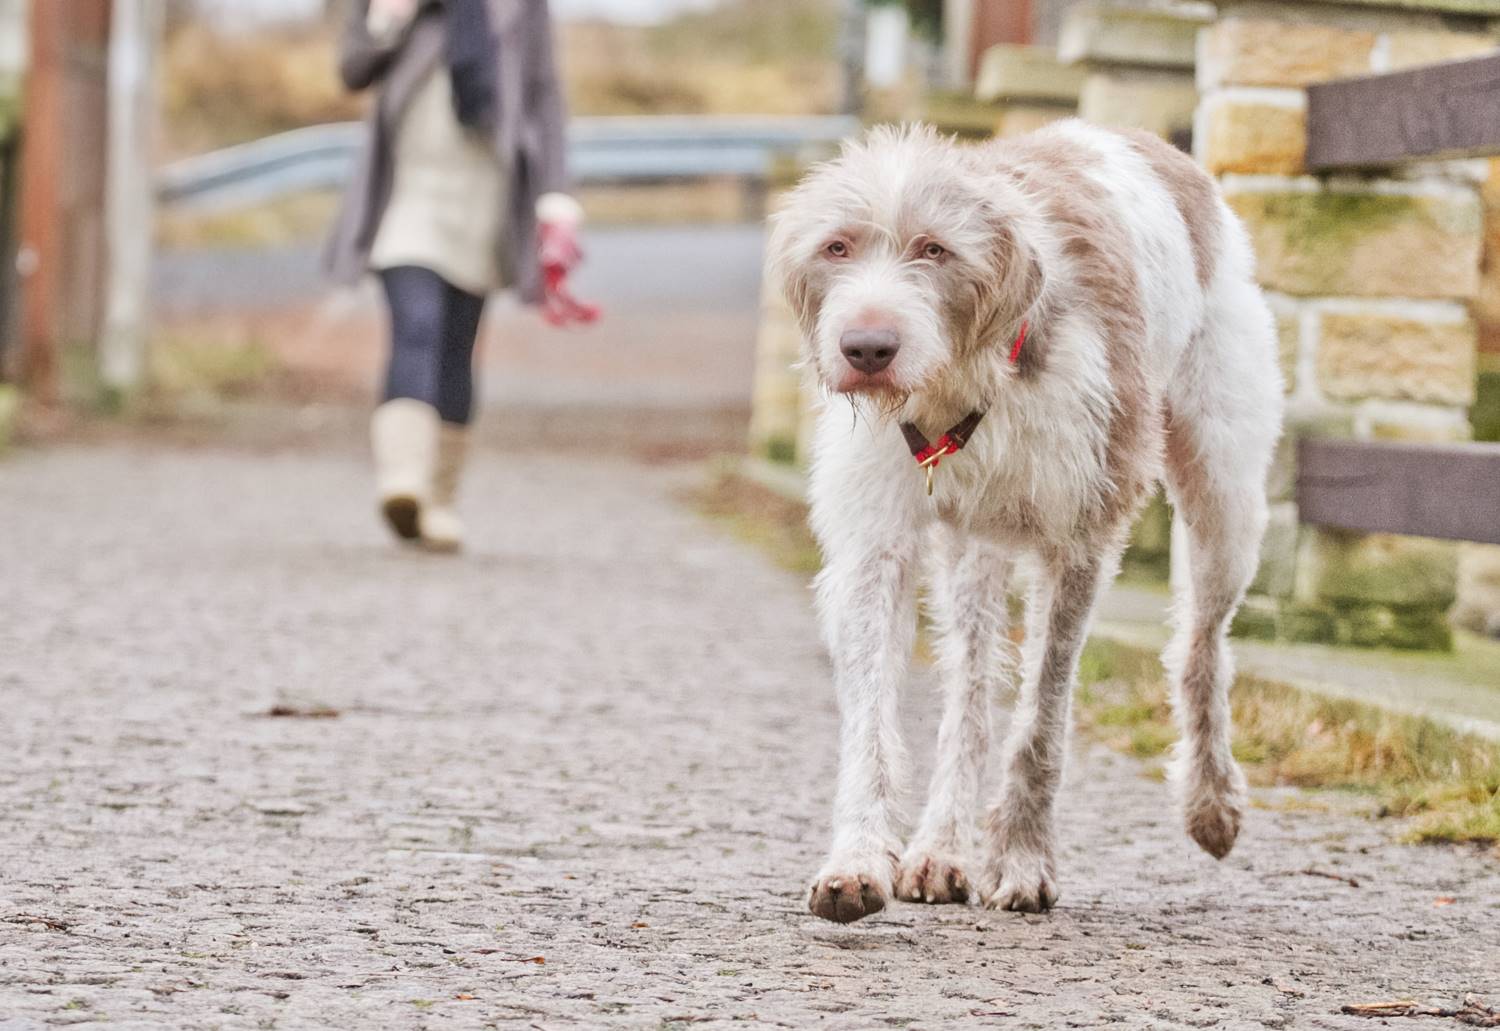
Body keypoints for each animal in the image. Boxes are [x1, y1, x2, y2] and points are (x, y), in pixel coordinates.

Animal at [768, 123, 1284, 930]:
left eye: (935, 249)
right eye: (837, 247)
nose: (867, 348)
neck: (964, 382)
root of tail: (1147, 140)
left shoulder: (1081, 536)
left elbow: (1043, 713)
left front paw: (1021, 858)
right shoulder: (874, 544)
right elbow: (874, 720)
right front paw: (857, 861)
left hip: (1225, 493)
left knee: (1202, 645)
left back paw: (1211, 800)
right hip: (972, 545)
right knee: (970, 690)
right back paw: (942, 846)